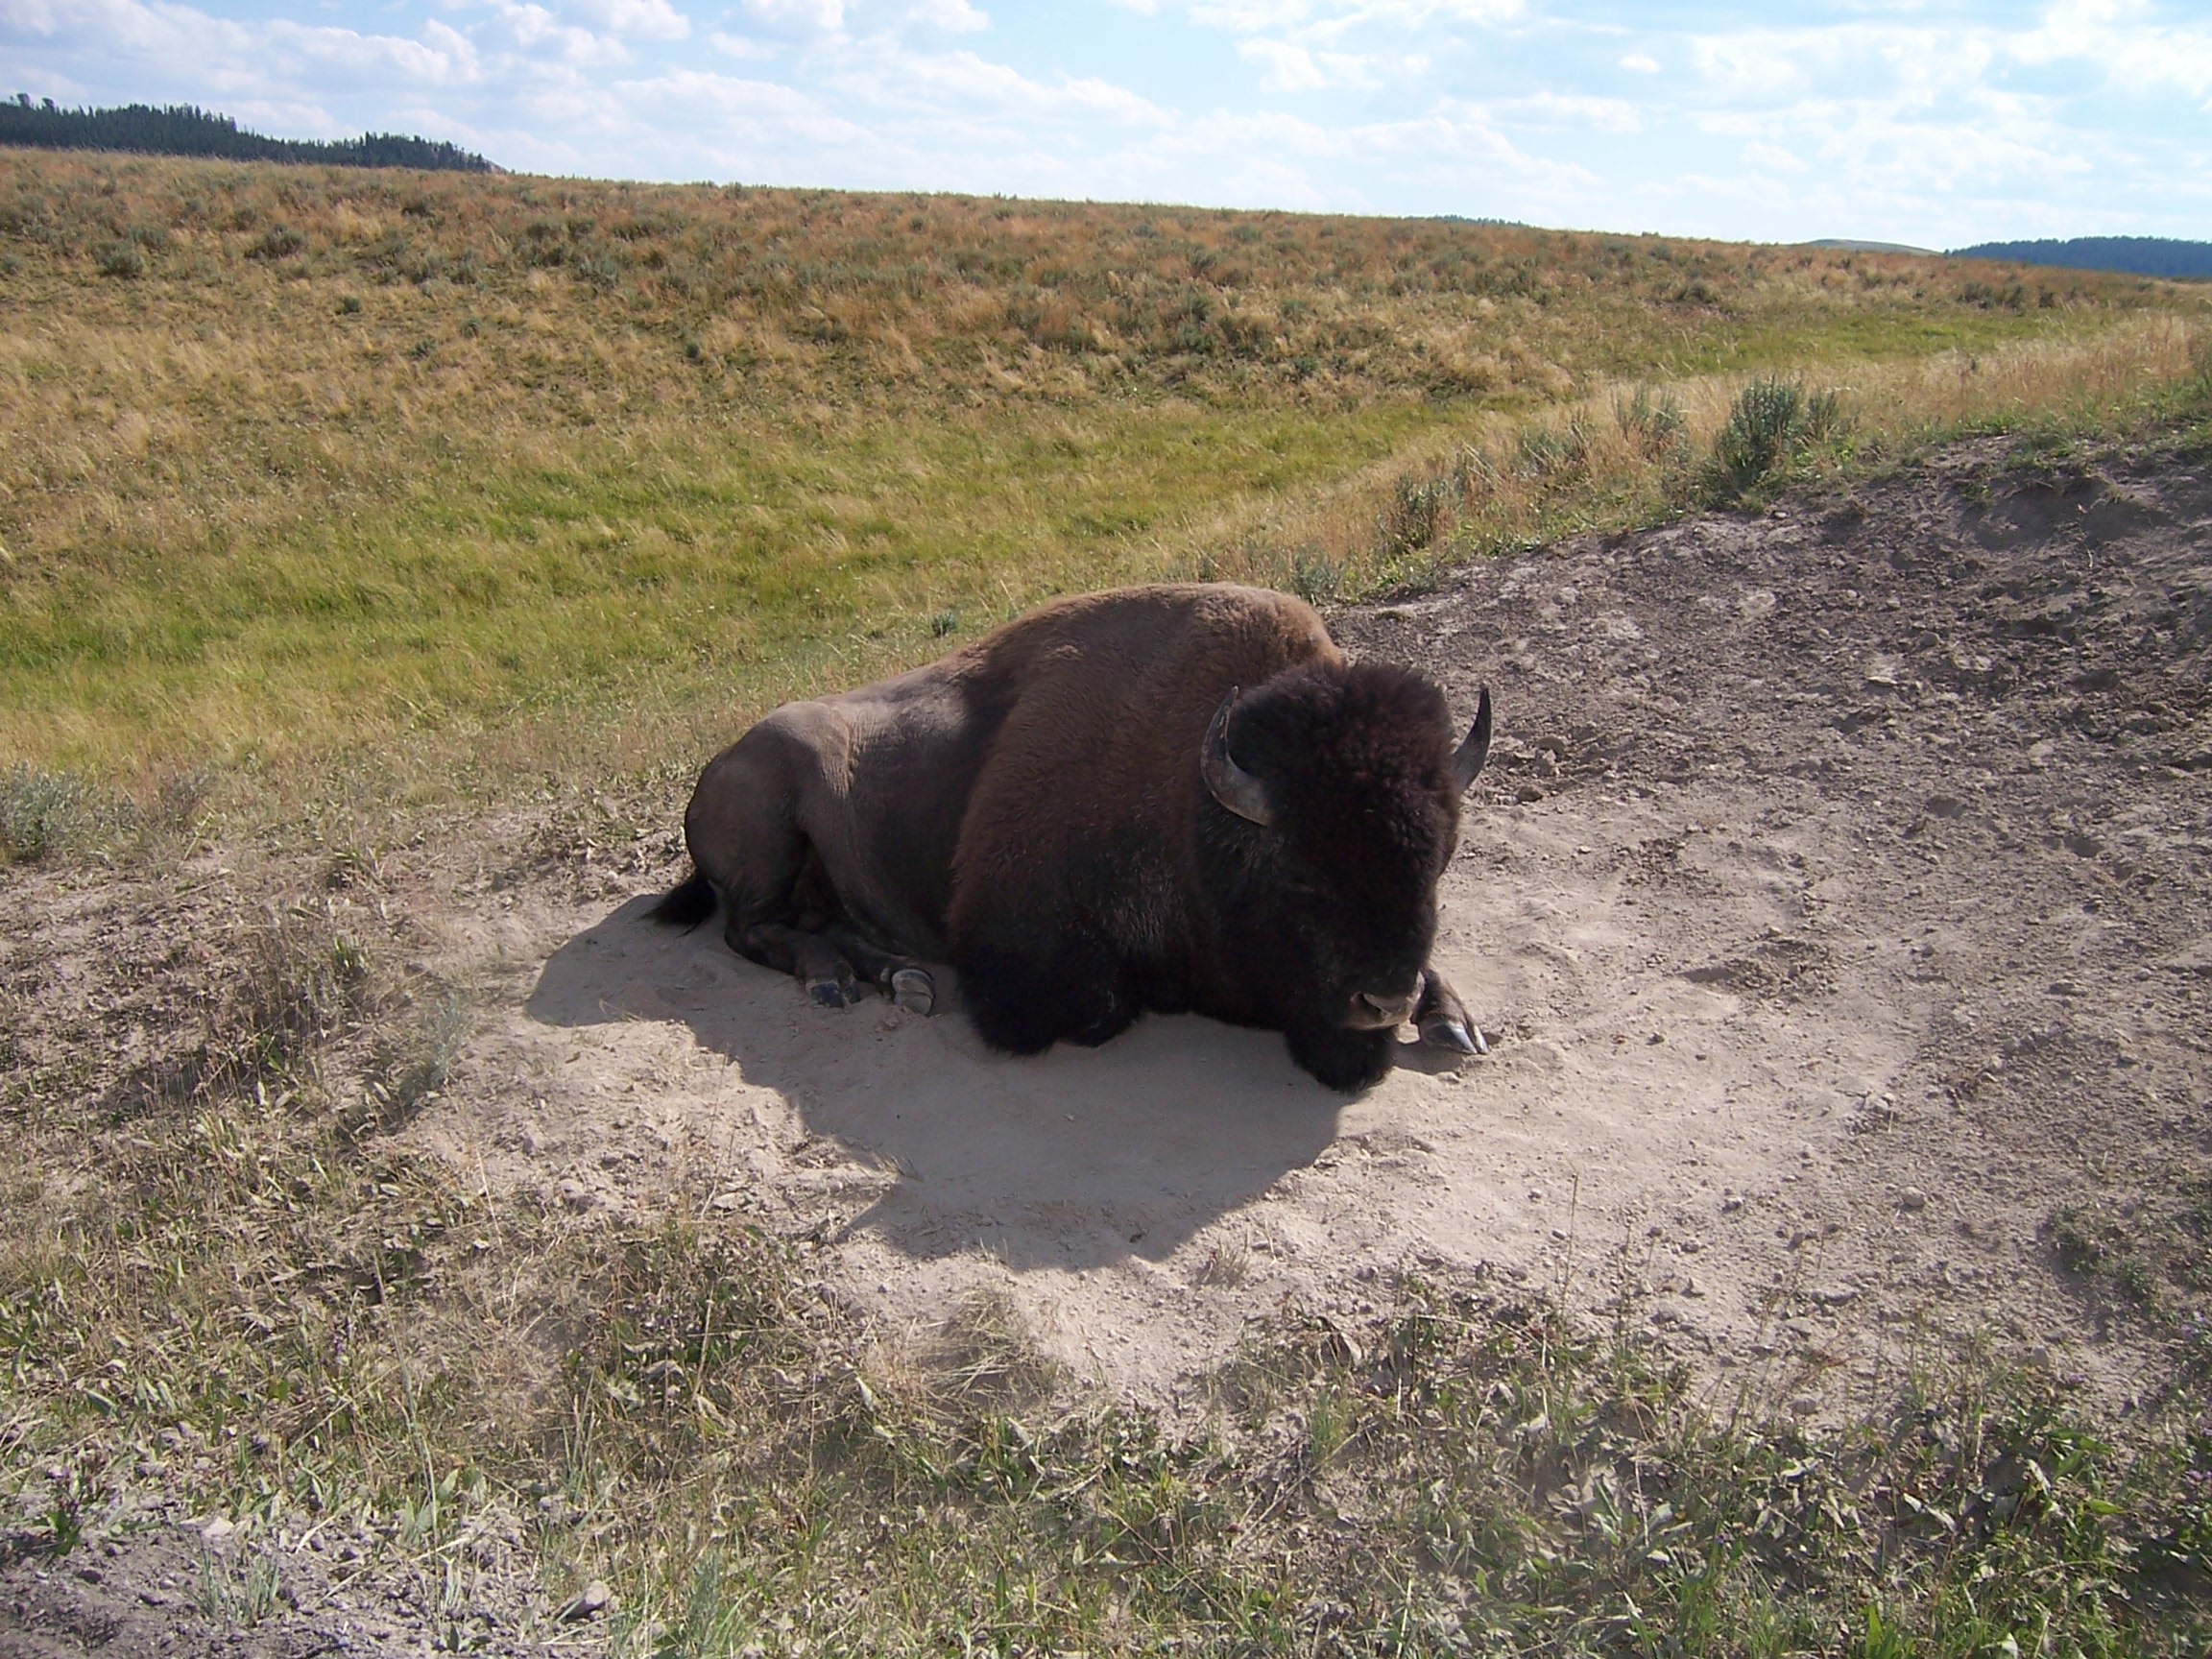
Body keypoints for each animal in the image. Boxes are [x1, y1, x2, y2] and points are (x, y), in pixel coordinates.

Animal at [645, 584, 1495, 1093]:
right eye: (1299, 868)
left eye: (1439, 863)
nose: (1382, 999)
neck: (1191, 792)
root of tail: (715, 766)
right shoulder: (1020, 954)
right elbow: (1104, 1004)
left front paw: (1451, 1016)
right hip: (773, 821)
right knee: (751, 930)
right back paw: (834, 981)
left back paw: (901, 979)